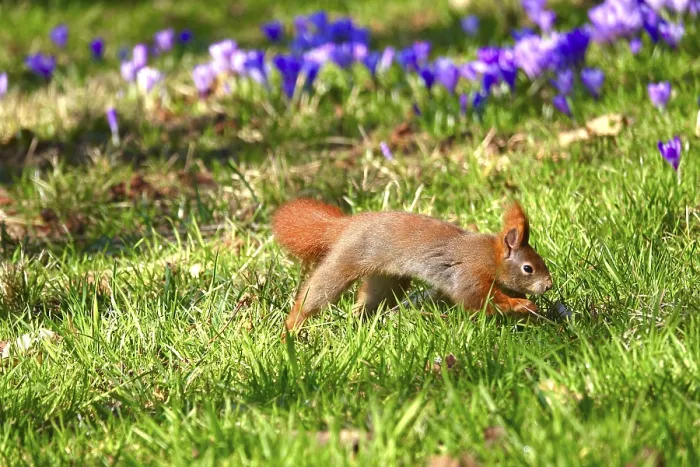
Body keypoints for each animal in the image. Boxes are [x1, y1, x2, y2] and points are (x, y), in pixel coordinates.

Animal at [272, 198, 553, 332]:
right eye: (528, 268)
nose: (548, 285)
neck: (490, 258)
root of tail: (347, 224)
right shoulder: (468, 274)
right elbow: (480, 298)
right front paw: (520, 305)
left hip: (387, 281)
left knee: (367, 304)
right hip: (346, 261)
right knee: (315, 294)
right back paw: (290, 329)